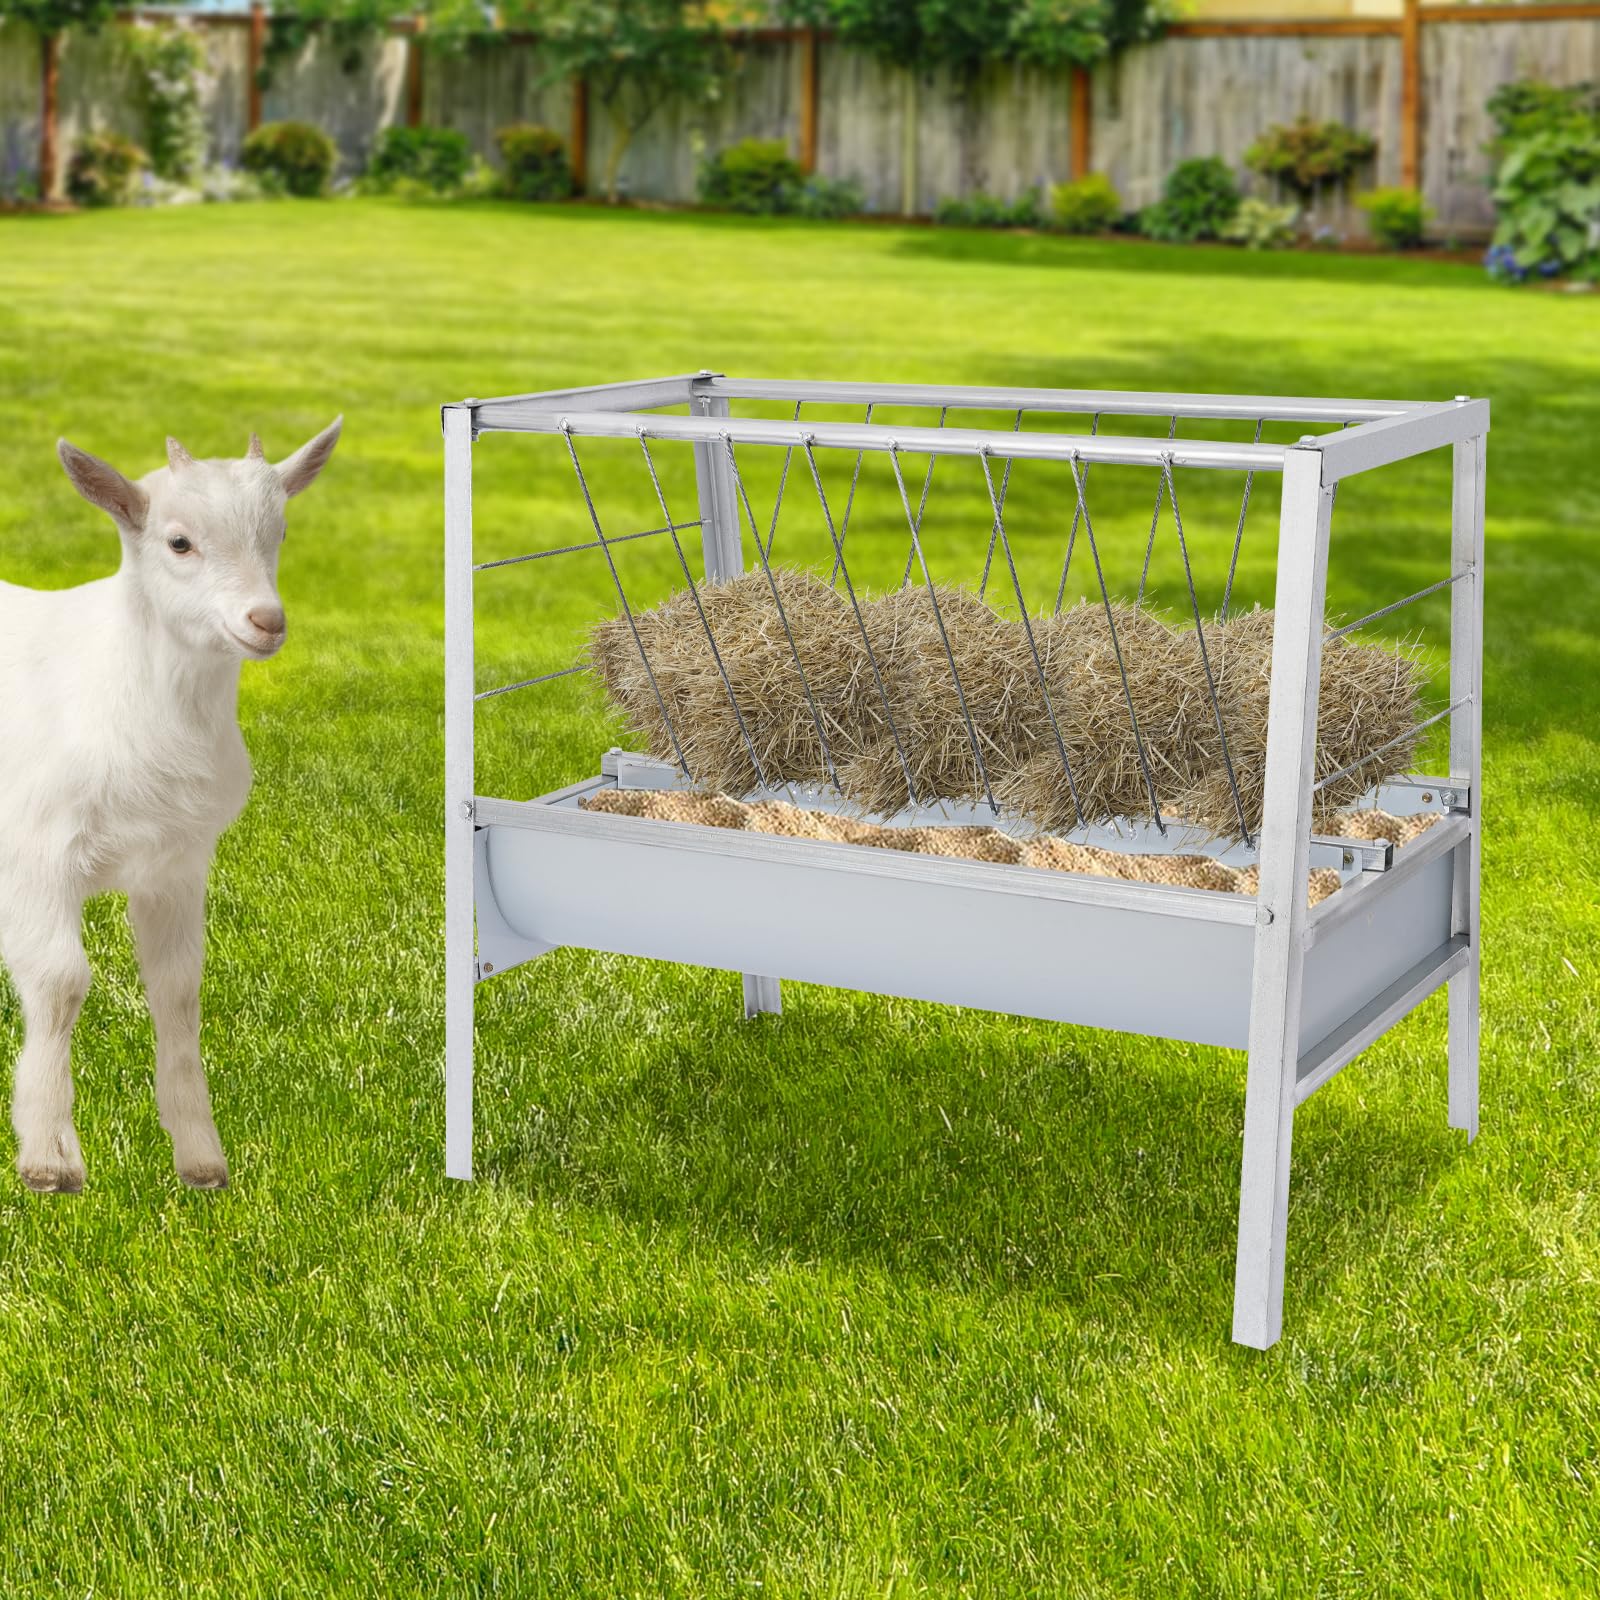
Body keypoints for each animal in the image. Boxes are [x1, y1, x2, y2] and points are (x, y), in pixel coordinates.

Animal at [0, 420, 341, 1192]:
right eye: (178, 542)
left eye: (279, 532)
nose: (266, 620)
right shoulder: (37, 852)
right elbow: (61, 982)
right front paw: (49, 1161)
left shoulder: (176, 864)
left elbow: (178, 991)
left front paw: (201, 1159)